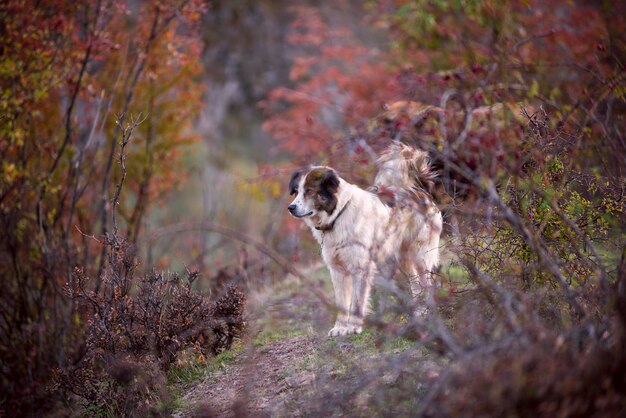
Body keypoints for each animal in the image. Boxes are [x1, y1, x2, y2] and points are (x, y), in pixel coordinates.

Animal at [286, 141, 442, 336]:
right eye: (296, 192)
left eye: (309, 191)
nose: (290, 208)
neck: (339, 214)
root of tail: (419, 189)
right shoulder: (336, 270)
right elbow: (342, 302)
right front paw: (339, 328)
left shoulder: (361, 267)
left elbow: (357, 302)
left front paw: (353, 327)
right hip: (403, 257)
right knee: (416, 285)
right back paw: (420, 314)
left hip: (420, 254)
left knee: (427, 284)